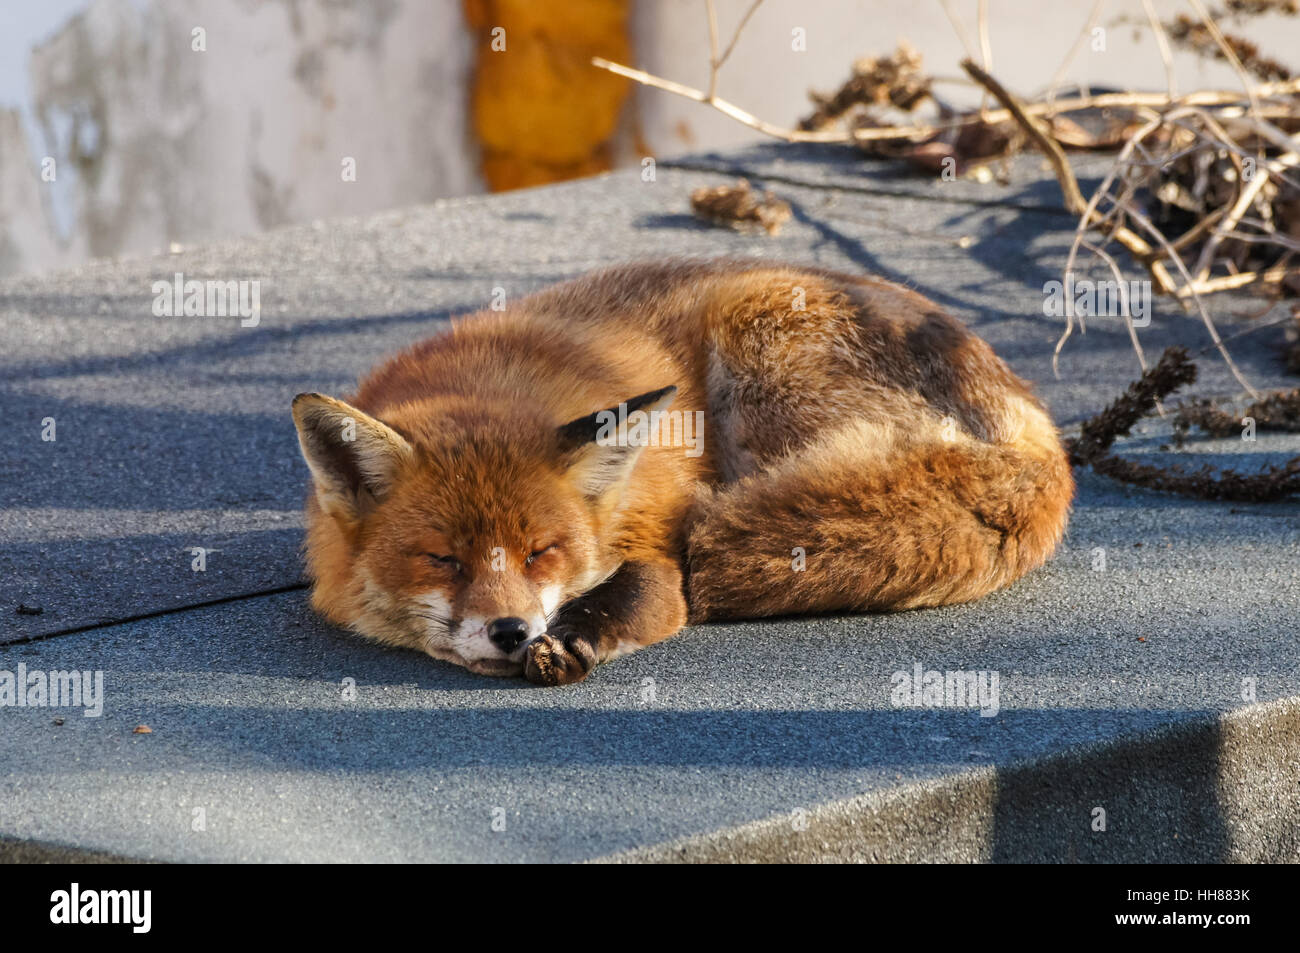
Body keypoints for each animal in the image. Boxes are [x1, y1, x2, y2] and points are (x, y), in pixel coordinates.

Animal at [297, 260, 1076, 686]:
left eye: (541, 552)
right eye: (443, 561)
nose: (512, 631)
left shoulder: (659, 530)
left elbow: (653, 586)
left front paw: (581, 632)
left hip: (757, 348)